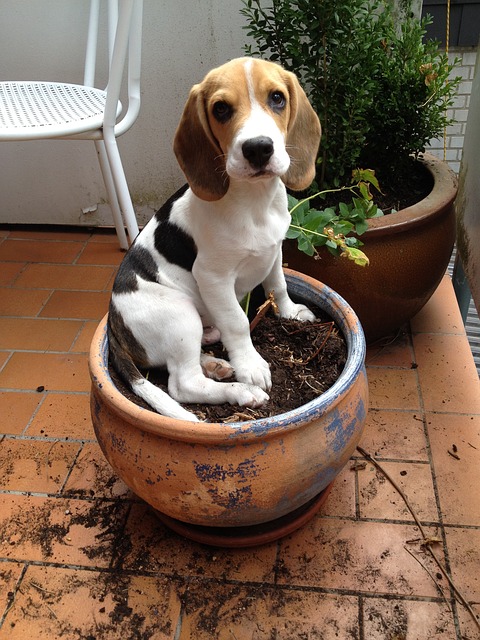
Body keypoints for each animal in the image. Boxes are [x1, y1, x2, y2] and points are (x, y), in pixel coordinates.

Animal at [107, 58, 320, 420]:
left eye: (277, 98)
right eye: (221, 109)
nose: (258, 148)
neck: (253, 202)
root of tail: (112, 326)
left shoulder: (275, 251)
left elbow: (278, 285)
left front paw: (290, 312)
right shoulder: (214, 277)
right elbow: (237, 322)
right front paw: (251, 367)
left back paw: (217, 364)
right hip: (180, 315)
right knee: (183, 384)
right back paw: (241, 391)